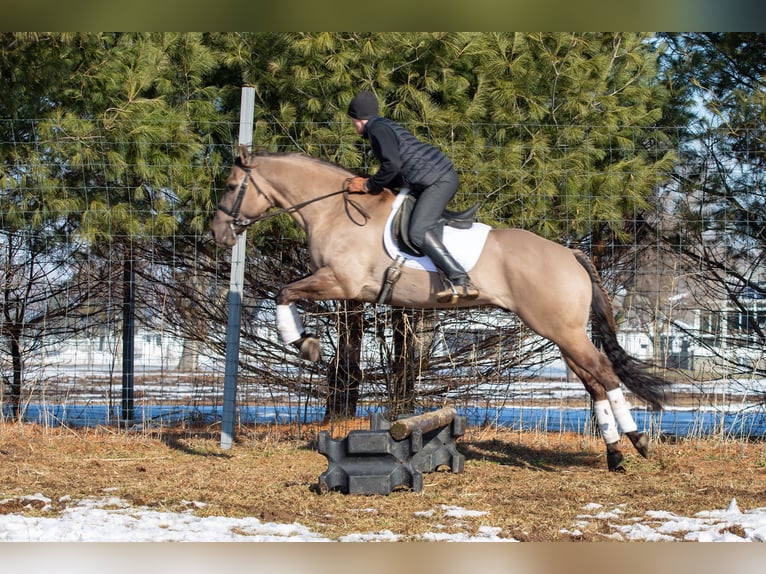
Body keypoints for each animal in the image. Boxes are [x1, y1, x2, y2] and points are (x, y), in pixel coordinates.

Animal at [211, 145, 670, 472]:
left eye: (232, 187)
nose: (218, 234)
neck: (333, 211)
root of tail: (571, 254)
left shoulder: (341, 281)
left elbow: (283, 293)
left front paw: (304, 344)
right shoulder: (341, 287)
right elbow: (287, 294)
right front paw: (305, 342)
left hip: (564, 332)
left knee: (605, 375)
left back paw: (639, 442)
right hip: (562, 334)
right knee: (594, 383)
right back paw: (614, 454)